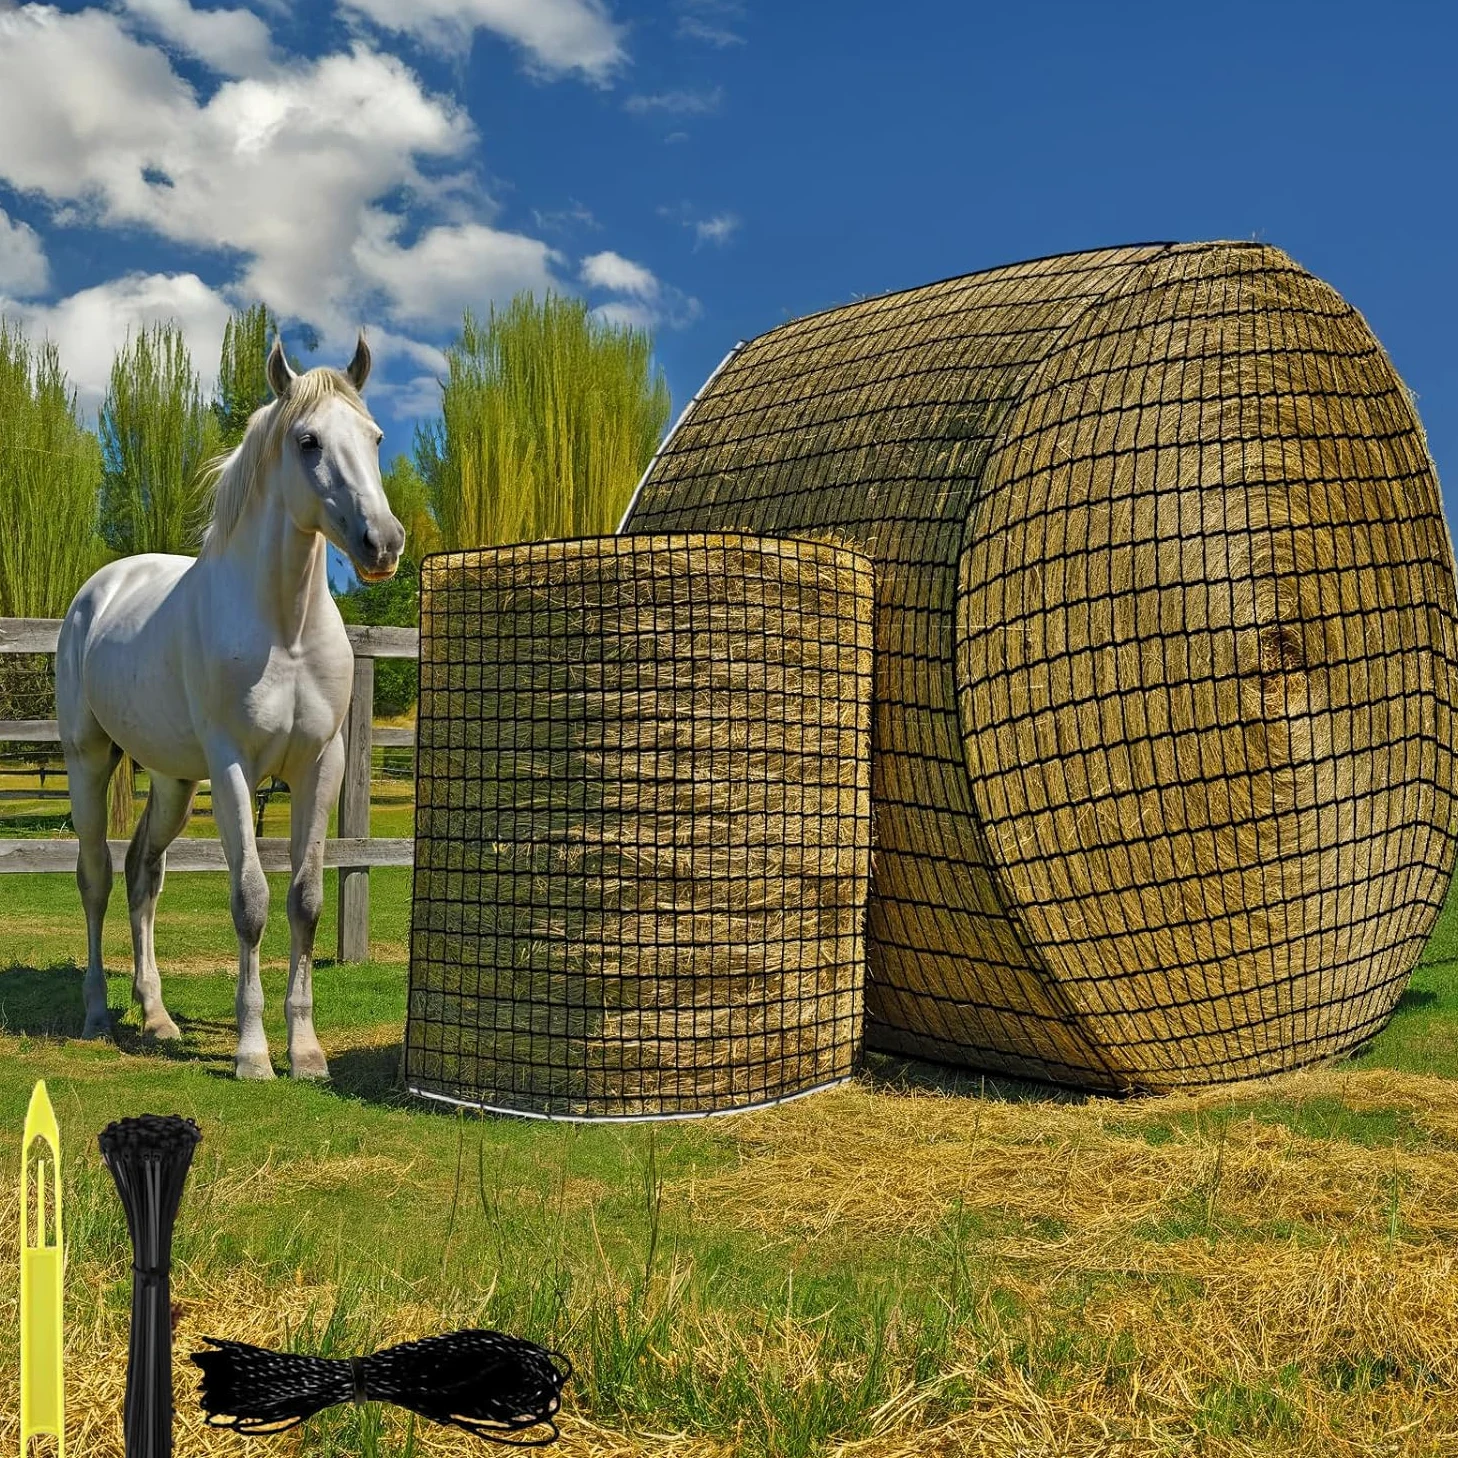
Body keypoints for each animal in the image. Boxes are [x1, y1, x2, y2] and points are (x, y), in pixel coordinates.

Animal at [55, 334, 405, 1080]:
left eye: (375, 437)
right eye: (307, 441)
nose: (383, 544)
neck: (285, 629)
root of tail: (99, 591)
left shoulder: (320, 766)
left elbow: (305, 900)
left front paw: (306, 1050)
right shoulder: (234, 768)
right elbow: (250, 900)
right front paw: (252, 1054)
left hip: (173, 782)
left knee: (144, 875)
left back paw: (156, 1017)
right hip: (90, 761)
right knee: (97, 877)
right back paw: (99, 1015)